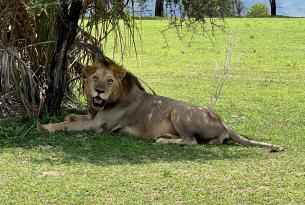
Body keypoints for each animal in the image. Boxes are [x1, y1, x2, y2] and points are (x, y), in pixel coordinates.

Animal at [40, 60, 282, 151]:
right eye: (95, 78)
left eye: (109, 81)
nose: (99, 91)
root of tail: (223, 121)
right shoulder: (94, 117)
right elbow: (74, 118)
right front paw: (65, 117)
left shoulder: (99, 126)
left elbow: (68, 126)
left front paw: (45, 127)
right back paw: (166, 136)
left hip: (178, 111)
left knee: (192, 141)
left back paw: (162, 140)